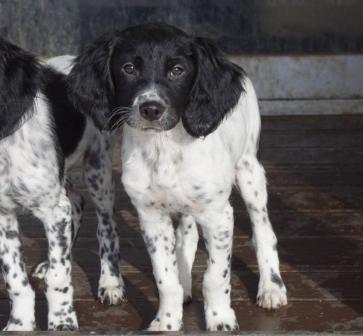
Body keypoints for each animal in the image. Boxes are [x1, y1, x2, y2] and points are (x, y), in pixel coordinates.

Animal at [0, 38, 125, 330]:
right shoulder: (4, 214)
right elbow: (14, 279)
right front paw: (20, 324)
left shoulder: (53, 209)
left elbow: (58, 277)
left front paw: (62, 320)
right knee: (76, 203)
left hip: (98, 167)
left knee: (107, 227)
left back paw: (111, 283)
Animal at [68, 23, 288, 330]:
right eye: (128, 68)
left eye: (177, 70)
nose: (151, 109)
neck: (165, 148)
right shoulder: (152, 217)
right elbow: (165, 279)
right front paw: (167, 321)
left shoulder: (219, 215)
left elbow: (215, 277)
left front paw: (220, 319)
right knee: (187, 235)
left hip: (250, 172)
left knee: (263, 230)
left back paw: (271, 287)